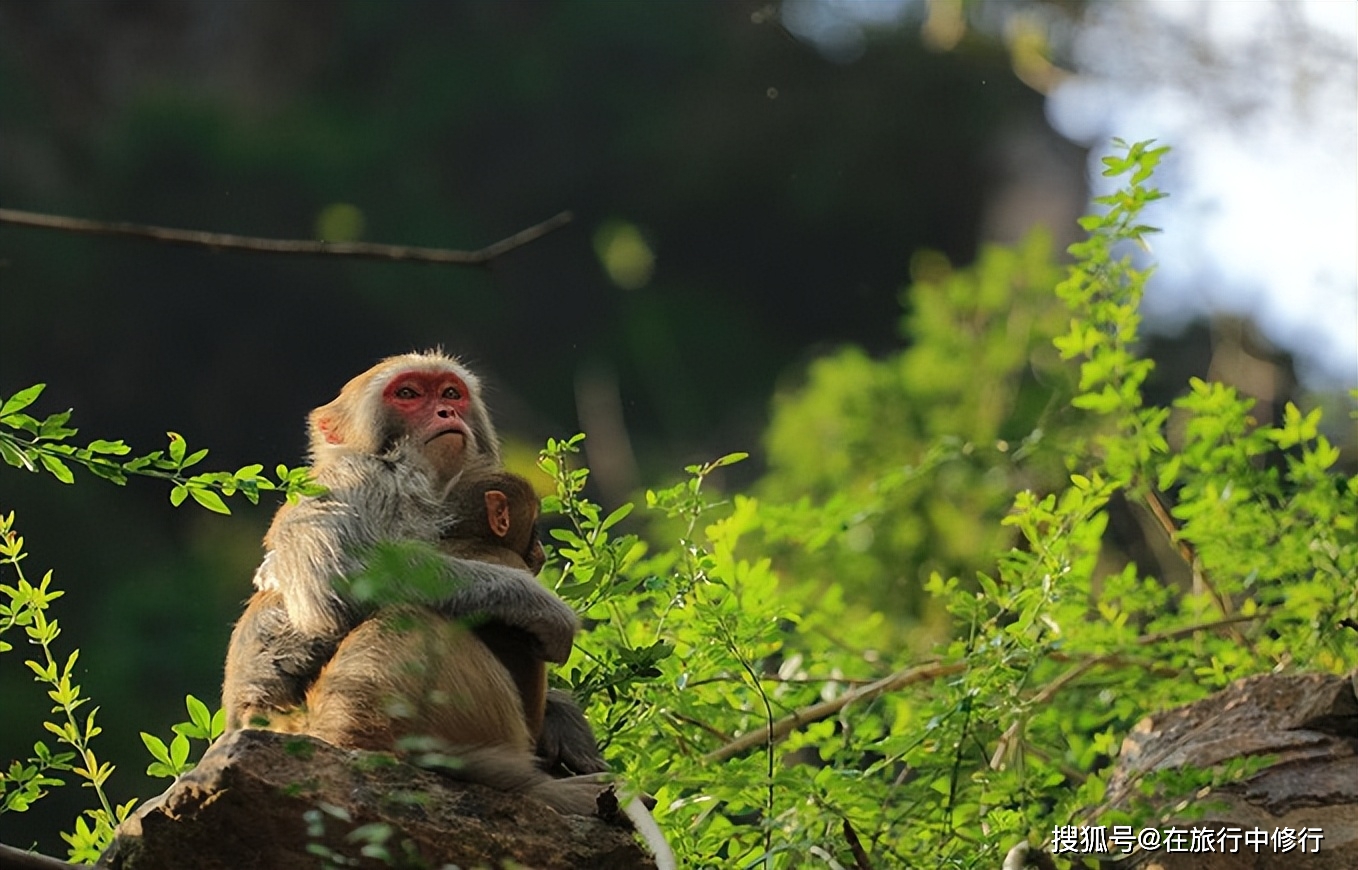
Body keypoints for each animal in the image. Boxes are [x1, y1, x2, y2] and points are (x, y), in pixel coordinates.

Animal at [219, 350, 602, 803]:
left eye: (450, 393)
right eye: (407, 394)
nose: (446, 411)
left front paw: (564, 718)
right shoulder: (359, 476)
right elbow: (334, 579)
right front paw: (535, 602)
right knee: (407, 617)